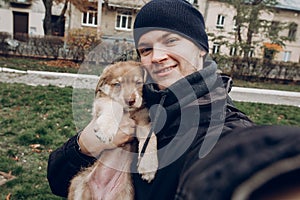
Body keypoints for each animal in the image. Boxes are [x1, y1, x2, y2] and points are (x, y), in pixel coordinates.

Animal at [67, 61, 157, 200]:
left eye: (138, 82)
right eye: (117, 84)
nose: (130, 101)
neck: (130, 112)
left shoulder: (143, 121)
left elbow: (151, 137)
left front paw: (149, 167)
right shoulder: (100, 102)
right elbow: (114, 105)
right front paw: (105, 130)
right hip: (77, 183)